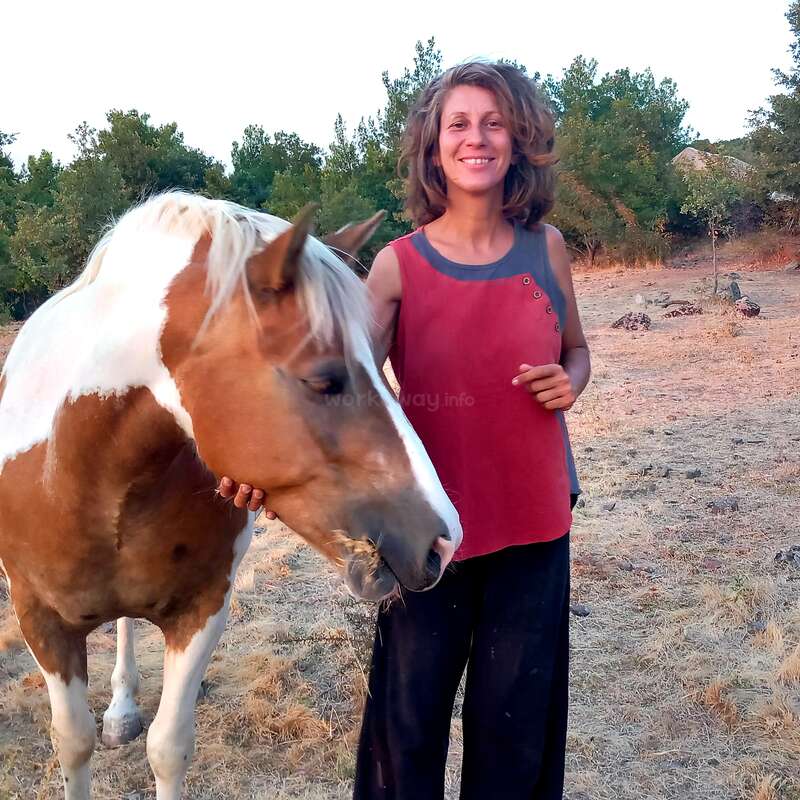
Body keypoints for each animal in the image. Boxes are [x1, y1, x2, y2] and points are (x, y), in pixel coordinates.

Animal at [0, 191, 462, 800]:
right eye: (323, 380)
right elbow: (73, 743)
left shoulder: (203, 608)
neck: (81, 473)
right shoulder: (40, 620)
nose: (444, 540)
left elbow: (168, 748)